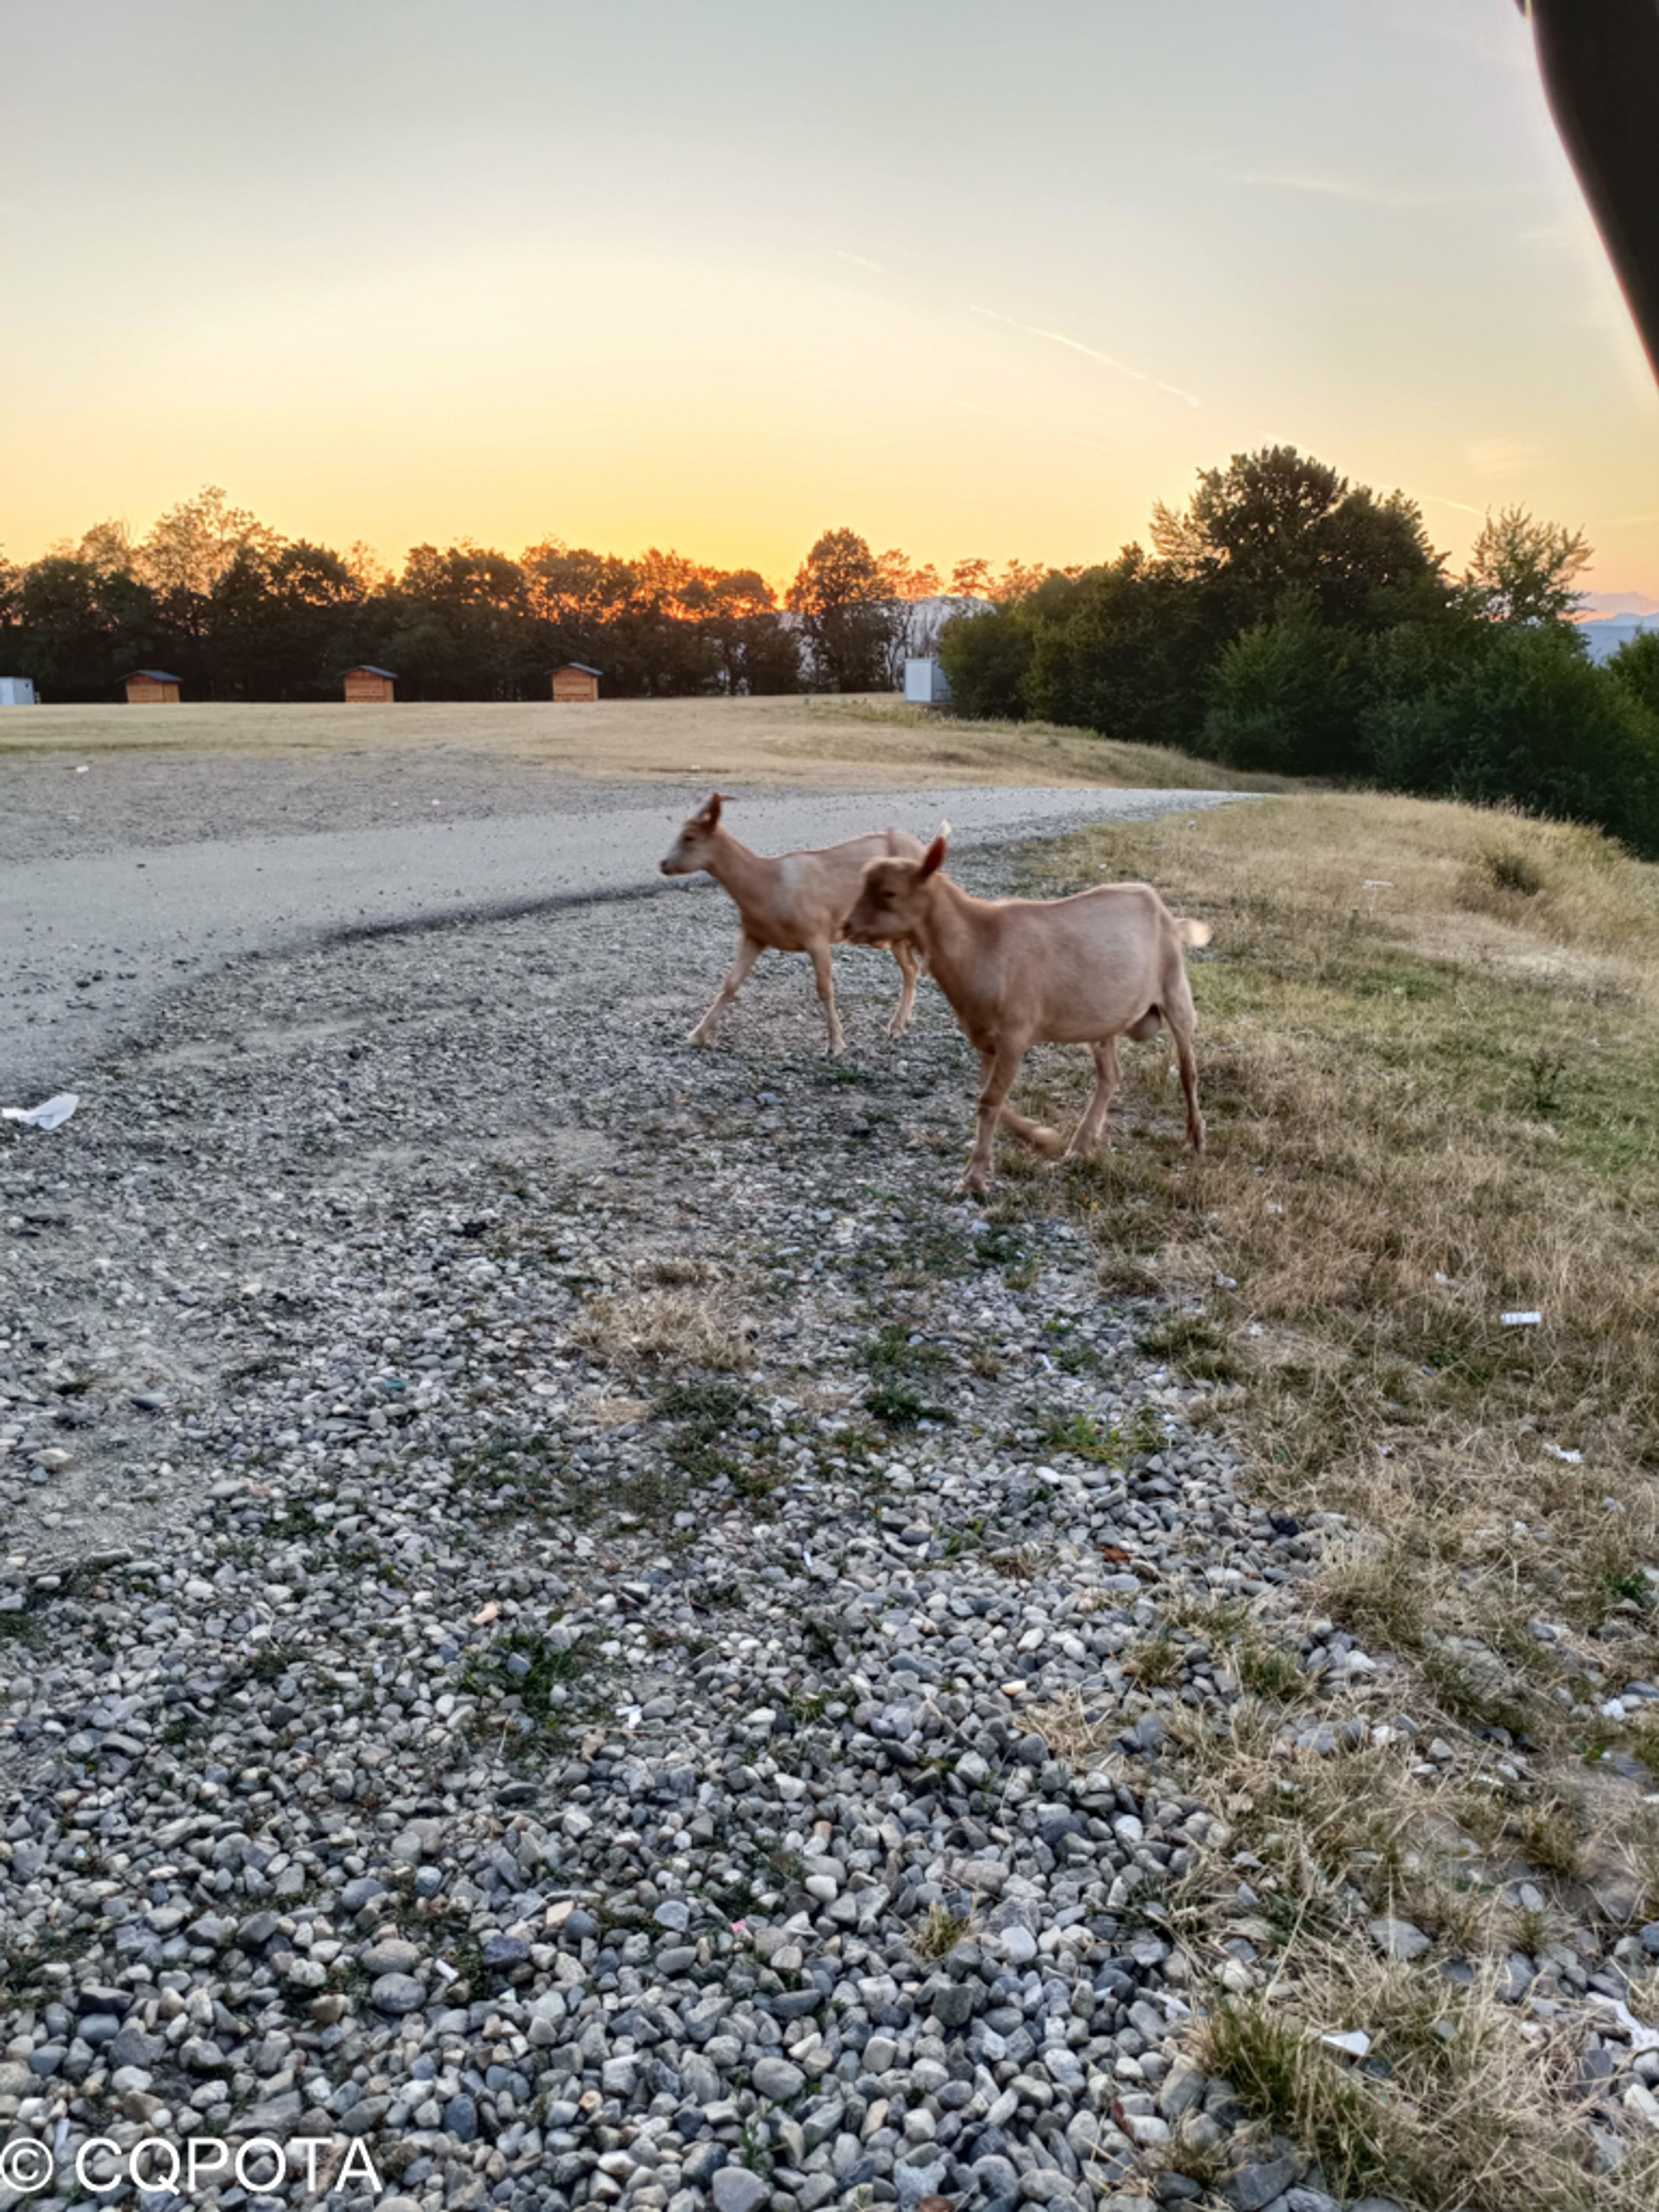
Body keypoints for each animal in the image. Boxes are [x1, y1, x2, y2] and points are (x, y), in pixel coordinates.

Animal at [659, 794, 925, 1055]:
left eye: (690, 837)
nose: (663, 864)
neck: (767, 881)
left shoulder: (817, 937)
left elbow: (825, 988)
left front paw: (836, 1044)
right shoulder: (755, 935)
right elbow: (732, 982)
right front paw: (697, 1035)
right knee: (911, 969)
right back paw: (898, 1026)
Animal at [844, 825, 1212, 1191]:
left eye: (889, 893)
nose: (847, 927)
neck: (980, 943)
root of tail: (1167, 914)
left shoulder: (1014, 1034)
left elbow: (990, 1100)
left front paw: (973, 1177)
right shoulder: (985, 1038)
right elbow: (990, 1097)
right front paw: (1040, 1138)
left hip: (1175, 990)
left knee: (1188, 1069)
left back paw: (1195, 1138)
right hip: (1102, 1020)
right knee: (1110, 1075)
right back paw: (1079, 1147)